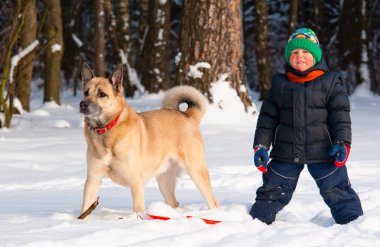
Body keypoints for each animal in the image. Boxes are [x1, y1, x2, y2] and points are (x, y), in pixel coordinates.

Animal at [78, 62, 218, 219]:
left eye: (101, 94)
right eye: (86, 92)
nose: (82, 104)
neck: (106, 130)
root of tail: (187, 115)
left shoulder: (135, 181)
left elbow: (138, 210)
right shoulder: (93, 179)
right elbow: (85, 208)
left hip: (196, 171)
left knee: (213, 201)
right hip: (164, 180)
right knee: (174, 203)